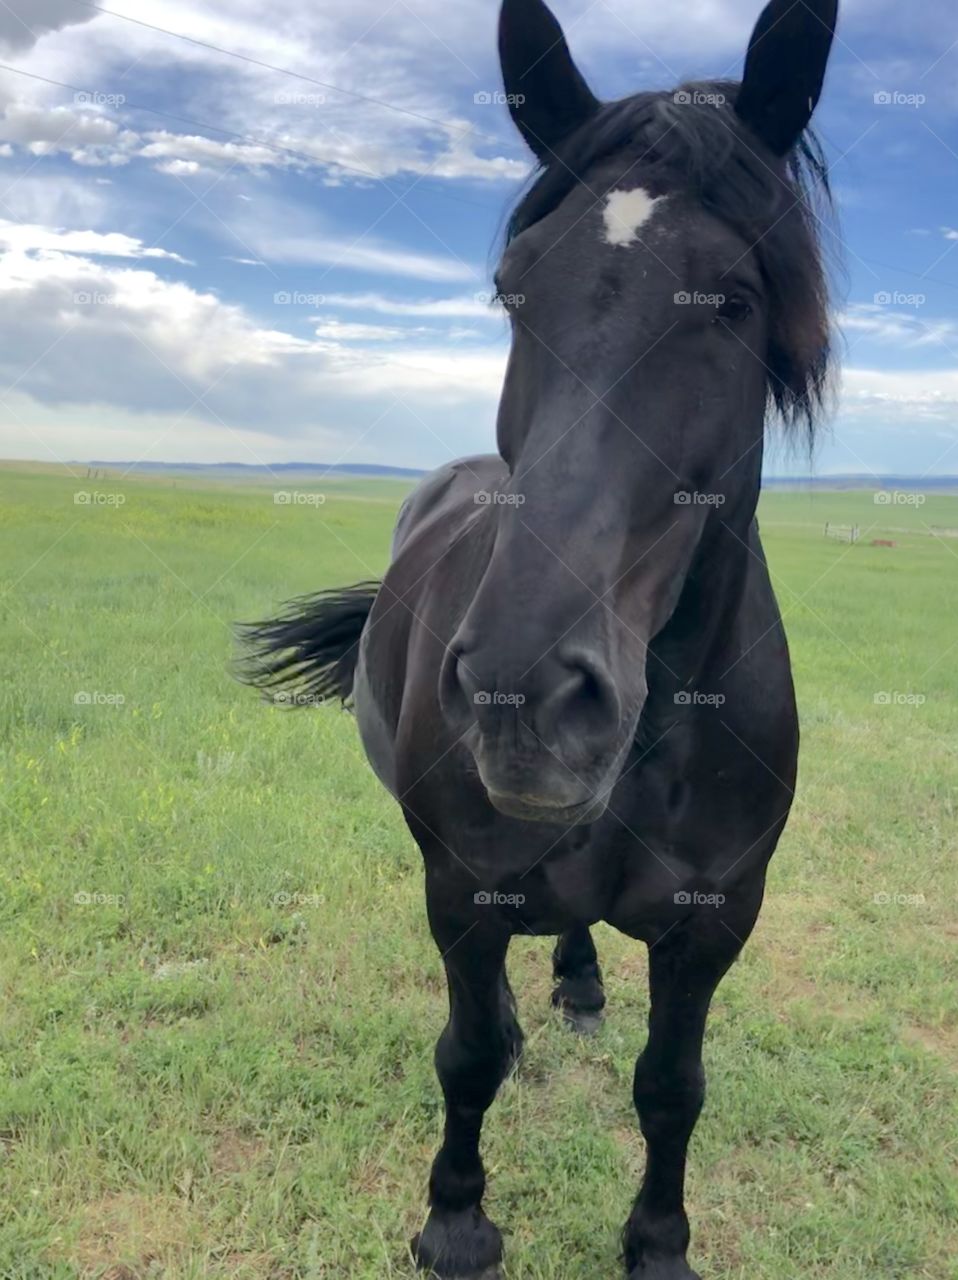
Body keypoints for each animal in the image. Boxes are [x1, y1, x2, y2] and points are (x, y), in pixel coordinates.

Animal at [240, 0, 838, 1274]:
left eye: (735, 298)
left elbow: (673, 1087)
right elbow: (464, 1052)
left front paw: (656, 1237)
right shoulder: (459, 890)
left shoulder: (716, 921)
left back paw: (575, 983)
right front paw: (456, 1215)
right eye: (515, 290)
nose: (525, 696)